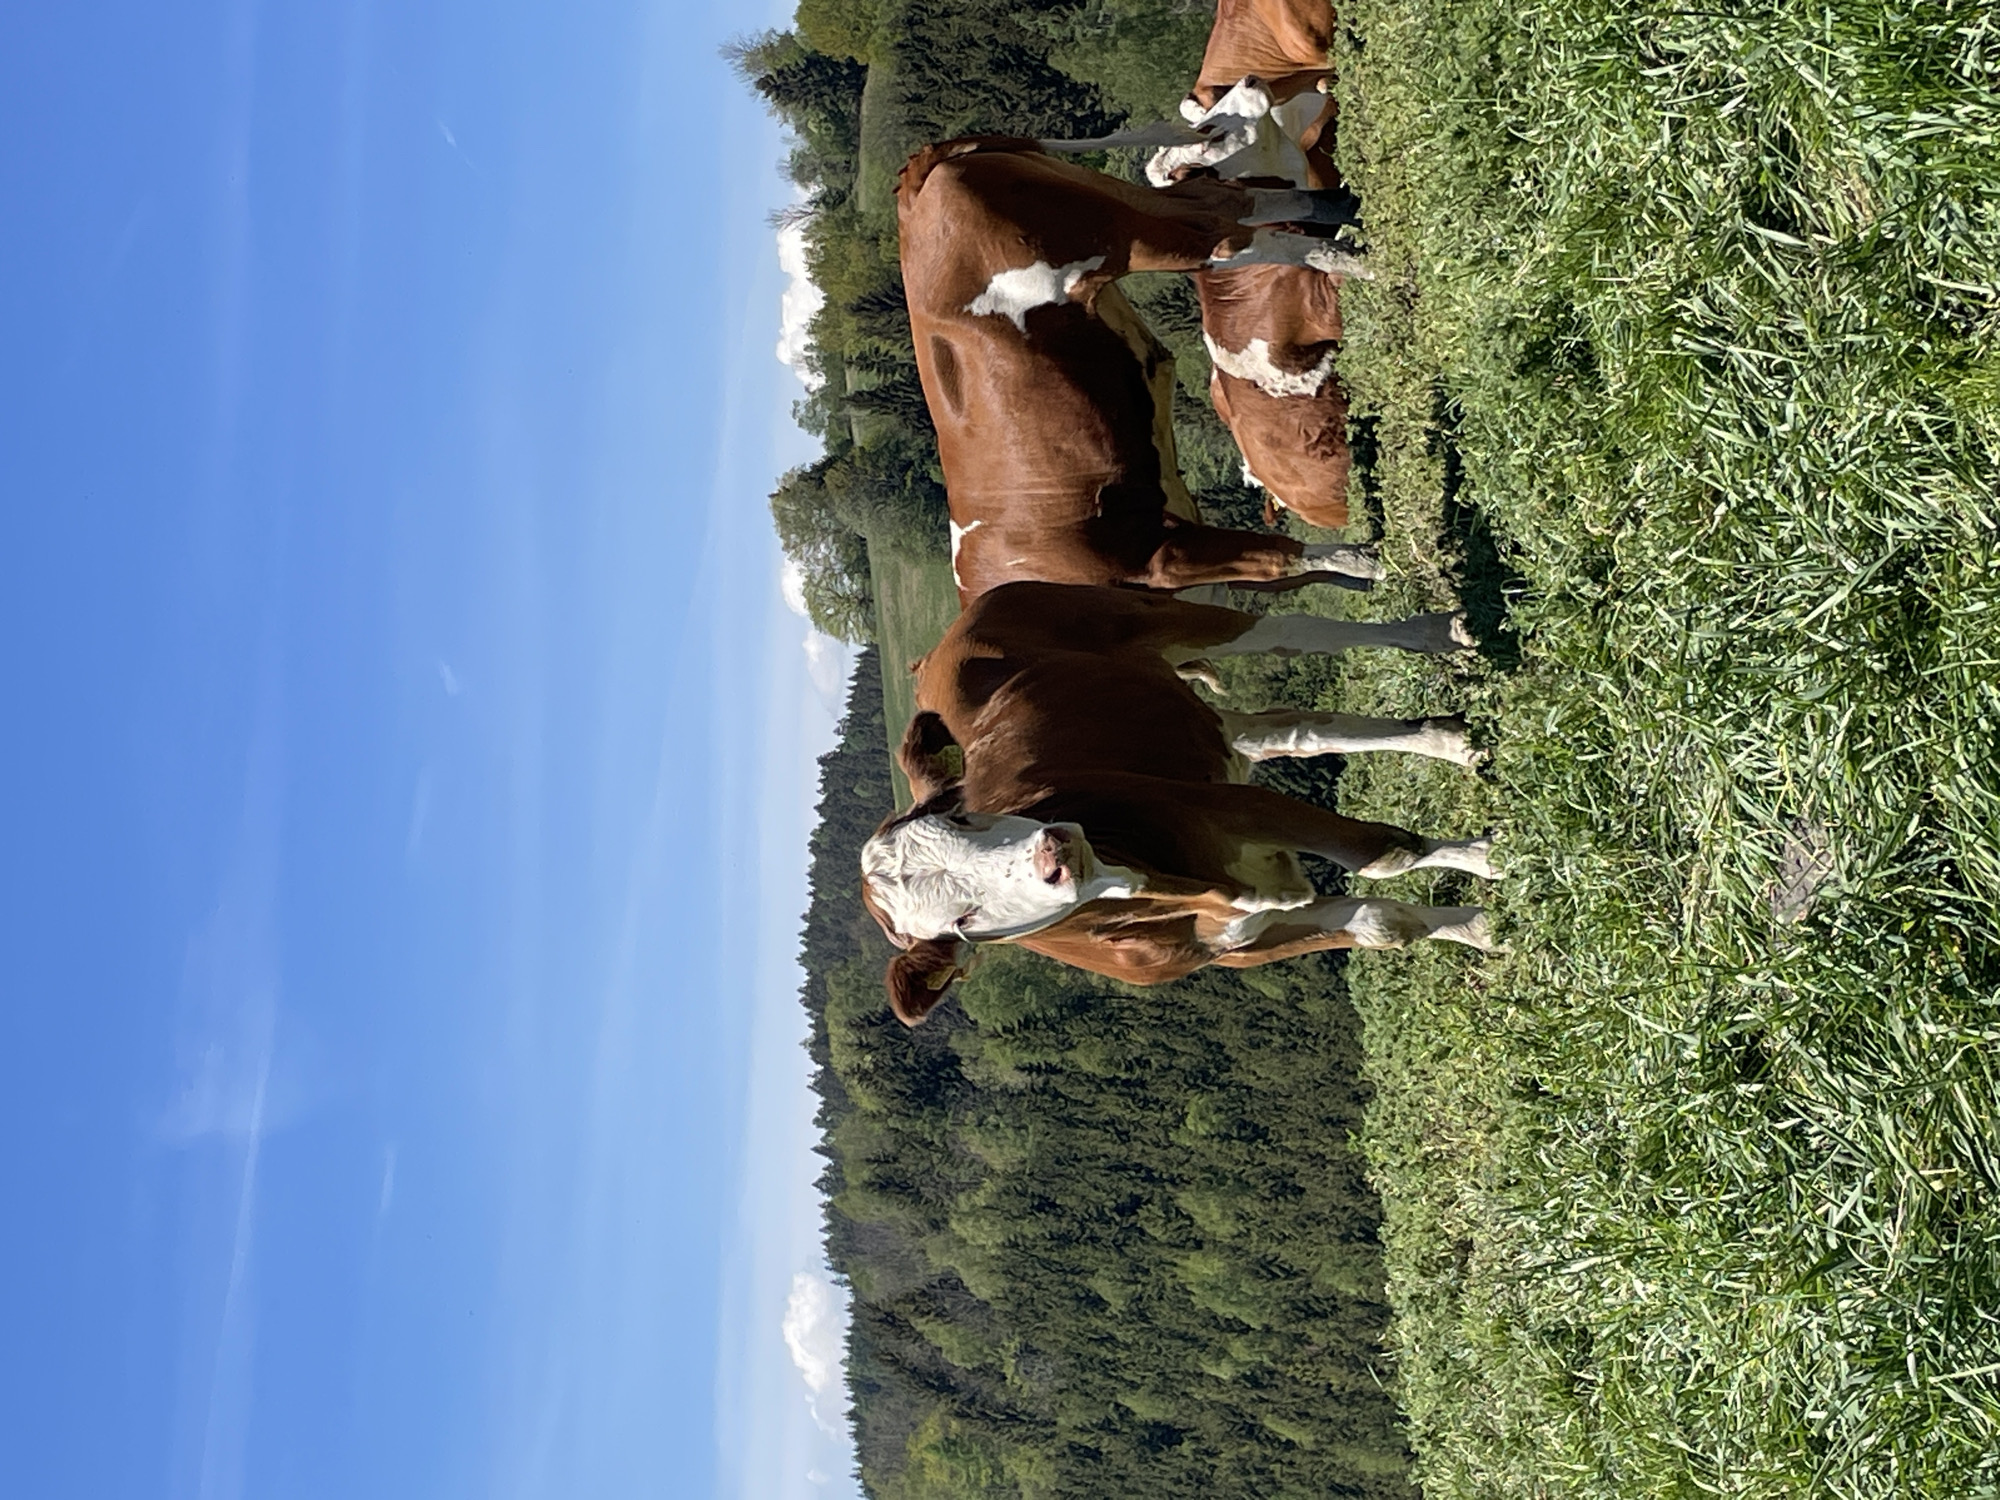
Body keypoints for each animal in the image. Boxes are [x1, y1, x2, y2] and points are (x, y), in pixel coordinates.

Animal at [858, 583, 1499, 1025]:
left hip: (1154, 615)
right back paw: (1448, 739)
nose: (1053, 854)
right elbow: (1383, 922)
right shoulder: (1248, 945)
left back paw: (1440, 635)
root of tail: (934, 653)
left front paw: (1492, 862)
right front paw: (1485, 929)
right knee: (1299, 731)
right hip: (1207, 727)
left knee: (1293, 631)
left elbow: (1382, 855)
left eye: (964, 817)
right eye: (961, 922)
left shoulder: (1240, 807)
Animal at [897, 136, 1377, 604]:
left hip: (1120, 239)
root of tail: (913, 190)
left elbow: (1284, 559)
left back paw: (1363, 260)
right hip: (1110, 200)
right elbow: (1308, 570)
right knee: (1224, 200)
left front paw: (1378, 563)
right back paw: (1349, 209)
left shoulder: (1162, 556)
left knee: (1224, 238)